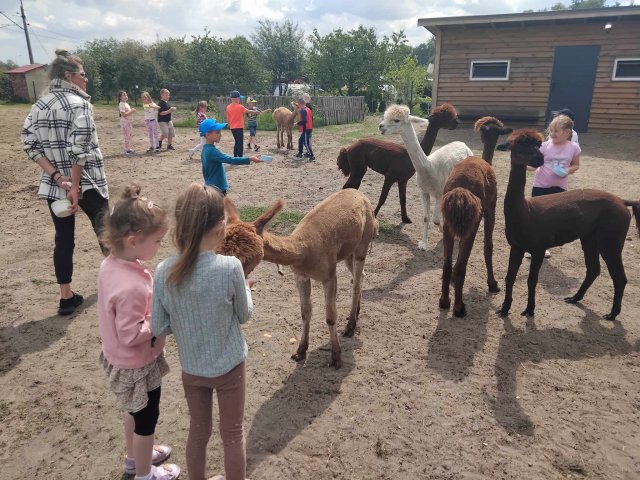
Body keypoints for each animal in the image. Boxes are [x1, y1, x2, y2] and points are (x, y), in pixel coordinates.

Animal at [218, 189, 378, 368]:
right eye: (217, 249)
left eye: (246, 258)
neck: (305, 251)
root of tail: (360, 194)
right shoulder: (300, 276)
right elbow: (305, 312)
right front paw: (300, 351)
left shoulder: (329, 275)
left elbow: (330, 316)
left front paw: (336, 357)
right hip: (347, 252)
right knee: (361, 275)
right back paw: (355, 315)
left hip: (363, 242)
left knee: (356, 282)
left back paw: (350, 327)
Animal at [378, 104, 473, 250]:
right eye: (384, 117)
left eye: (396, 120)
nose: (381, 126)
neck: (429, 168)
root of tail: (463, 144)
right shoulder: (424, 191)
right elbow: (426, 218)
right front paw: (423, 243)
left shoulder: (439, 192)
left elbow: (435, 219)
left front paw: (444, 231)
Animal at [439, 116, 513, 317]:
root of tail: (460, 191)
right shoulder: (491, 208)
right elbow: (489, 246)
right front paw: (493, 283)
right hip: (473, 221)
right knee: (461, 266)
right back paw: (459, 307)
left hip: (449, 223)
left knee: (447, 264)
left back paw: (444, 301)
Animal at [497, 128, 640, 320]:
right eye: (518, 144)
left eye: (538, 144)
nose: (539, 158)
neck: (526, 213)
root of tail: (622, 201)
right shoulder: (516, 246)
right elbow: (509, 277)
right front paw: (504, 309)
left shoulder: (538, 248)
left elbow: (532, 280)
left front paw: (529, 310)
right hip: (590, 237)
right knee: (594, 269)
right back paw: (574, 298)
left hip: (611, 237)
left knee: (619, 277)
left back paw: (612, 314)